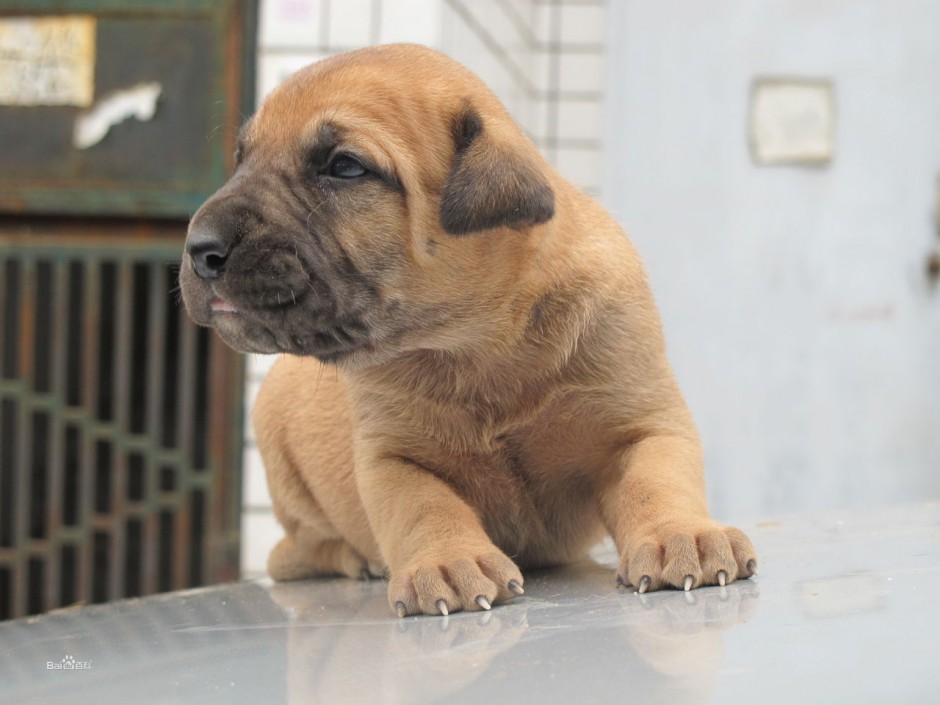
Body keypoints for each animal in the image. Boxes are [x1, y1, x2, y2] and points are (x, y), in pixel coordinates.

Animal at [180, 45, 760, 616]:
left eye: (345, 167)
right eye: (241, 157)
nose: (198, 248)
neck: (477, 345)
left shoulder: (642, 420)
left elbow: (657, 479)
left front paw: (680, 534)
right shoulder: (391, 454)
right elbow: (422, 504)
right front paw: (447, 561)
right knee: (295, 551)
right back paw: (357, 558)